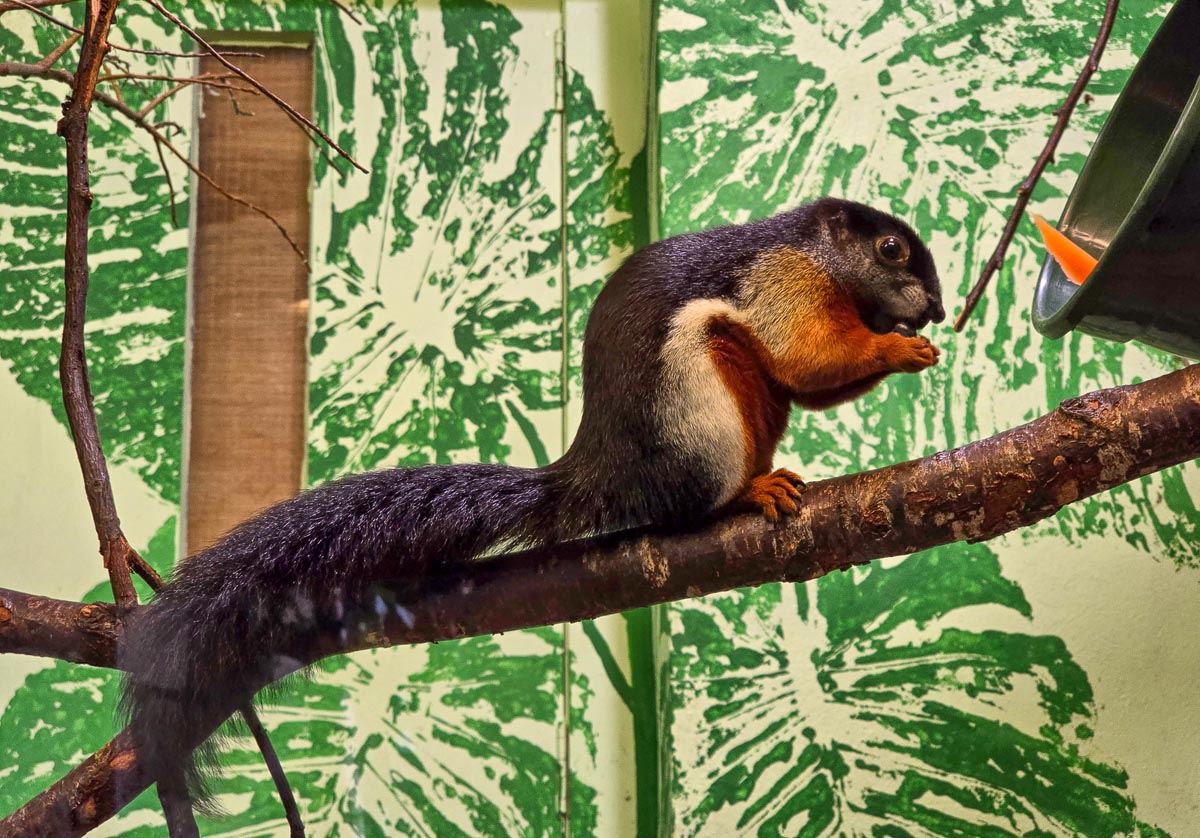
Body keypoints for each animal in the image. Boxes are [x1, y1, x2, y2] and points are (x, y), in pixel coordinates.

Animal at [119, 197, 944, 805]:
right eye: (891, 250)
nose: (936, 308)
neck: (813, 253)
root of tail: (598, 475)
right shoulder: (782, 283)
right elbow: (809, 357)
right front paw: (900, 348)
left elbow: (816, 382)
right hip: (702, 410)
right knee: (697, 501)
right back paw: (747, 493)